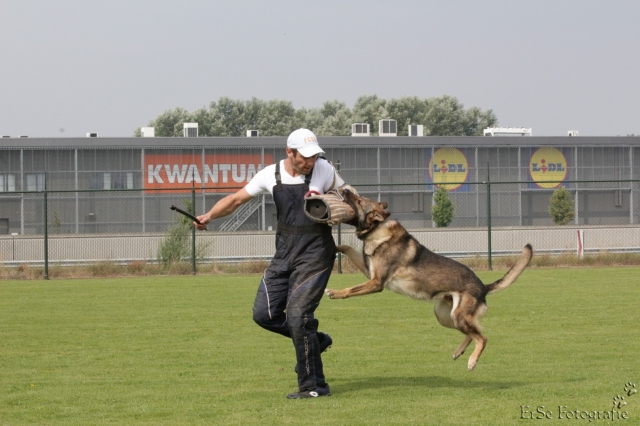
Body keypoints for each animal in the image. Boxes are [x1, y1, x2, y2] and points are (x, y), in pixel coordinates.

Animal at [325, 190, 533, 371]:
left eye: (359, 201)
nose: (345, 190)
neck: (378, 229)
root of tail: (483, 286)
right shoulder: (370, 273)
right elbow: (346, 248)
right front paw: (335, 247)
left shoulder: (376, 282)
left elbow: (351, 289)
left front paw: (335, 292)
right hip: (447, 317)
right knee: (475, 332)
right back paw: (459, 351)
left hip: (458, 317)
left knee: (482, 337)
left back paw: (472, 361)